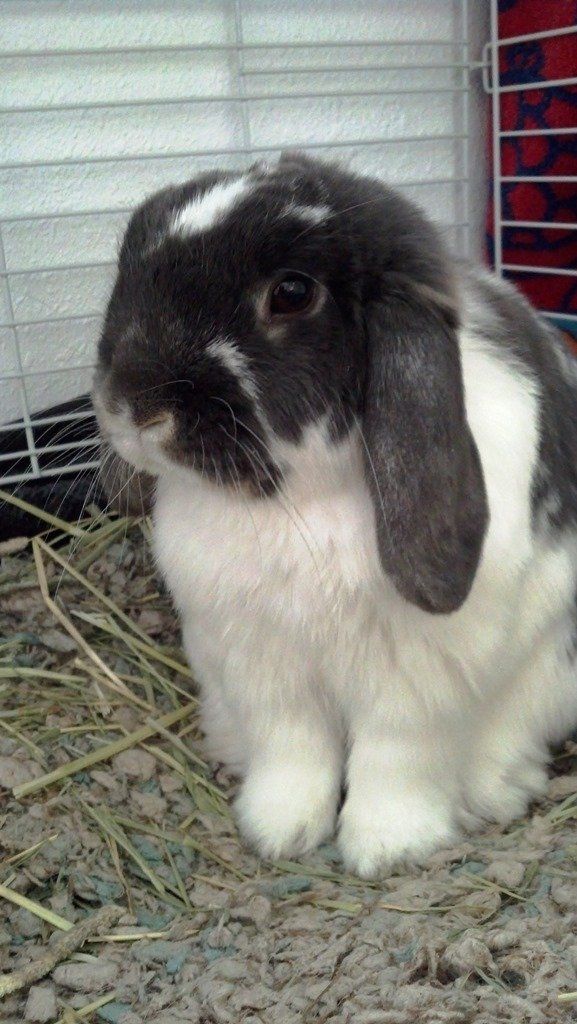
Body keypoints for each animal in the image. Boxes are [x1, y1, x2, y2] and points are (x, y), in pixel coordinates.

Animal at [92, 152, 577, 877]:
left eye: (291, 293)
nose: (133, 404)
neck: (297, 503)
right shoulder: (262, 666)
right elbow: (293, 751)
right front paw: (278, 832)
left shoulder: (416, 680)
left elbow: (395, 760)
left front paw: (386, 849)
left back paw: (497, 789)